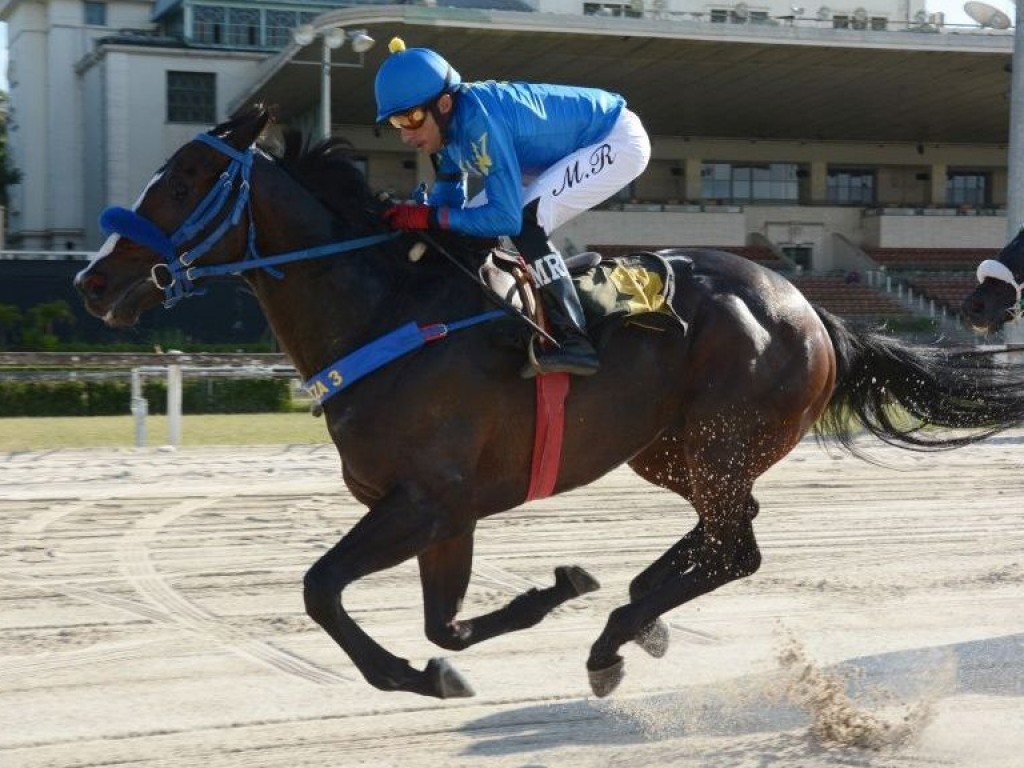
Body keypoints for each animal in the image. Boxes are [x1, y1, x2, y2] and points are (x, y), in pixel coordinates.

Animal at [75, 107, 1024, 704]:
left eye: (186, 179)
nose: (92, 283)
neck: (386, 310)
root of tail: (810, 306)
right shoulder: (444, 514)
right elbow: (444, 626)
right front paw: (530, 606)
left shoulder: (427, 500)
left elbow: (321, 590)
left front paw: (428, 668)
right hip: (669, 450)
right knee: (726, 538)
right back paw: (636, 617)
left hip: (719, 440)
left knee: (737, 547)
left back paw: (619, 633)